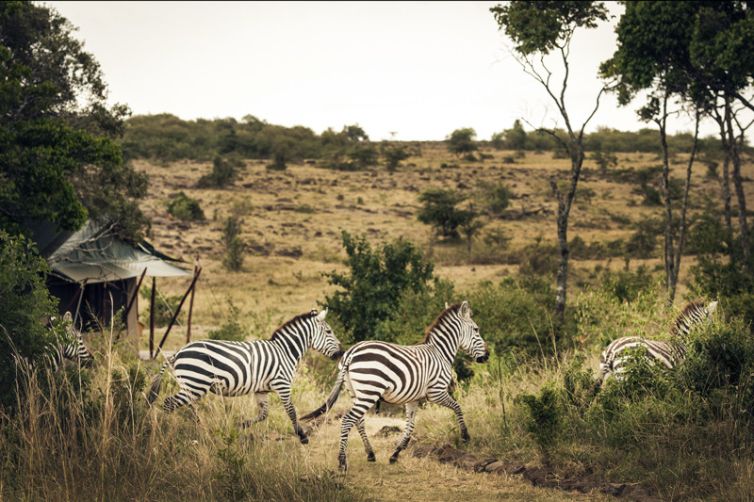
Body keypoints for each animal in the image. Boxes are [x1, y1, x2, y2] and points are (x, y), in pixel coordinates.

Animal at [147, 308, 343, 444]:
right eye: (329, 332)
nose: (341, 353)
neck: (285, 352)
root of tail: (178, 351)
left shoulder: (261, 390)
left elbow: (263, 414)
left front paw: (240, 425)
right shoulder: (282, 385)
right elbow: (292, 412)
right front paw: (302, 436)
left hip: (192, 386)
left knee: (185, 406)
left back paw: (198, 431)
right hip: (195, 383)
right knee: (168, 403)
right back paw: (164, 432)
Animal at [301, 301, 488, 471]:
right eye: (476, 329)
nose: (487, 356)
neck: (440, 353)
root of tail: (351, 352)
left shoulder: (413, 399)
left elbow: (410, 426)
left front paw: (395, 454)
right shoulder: (437, 392)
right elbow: (457, 407)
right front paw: (465, 436)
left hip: (356, 393)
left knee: (358, 421)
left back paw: (370, 454)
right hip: (369, 392)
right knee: (348, 420)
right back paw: (342, 462)